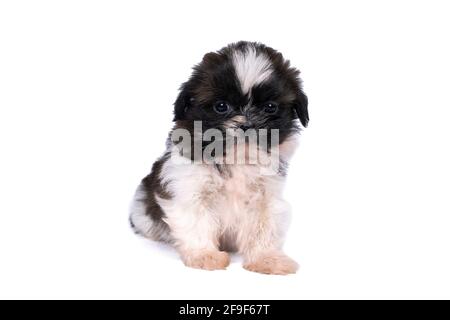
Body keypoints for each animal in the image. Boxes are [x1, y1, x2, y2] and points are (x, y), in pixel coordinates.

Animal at [128, 41, 308, 274]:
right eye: (221, 106)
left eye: (270, 107)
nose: (246, 124)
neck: (236, 158)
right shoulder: (189, 187)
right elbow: (196, 221)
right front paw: (204, 255)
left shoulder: (266, 195)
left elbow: (264, 226)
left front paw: (267, 258)